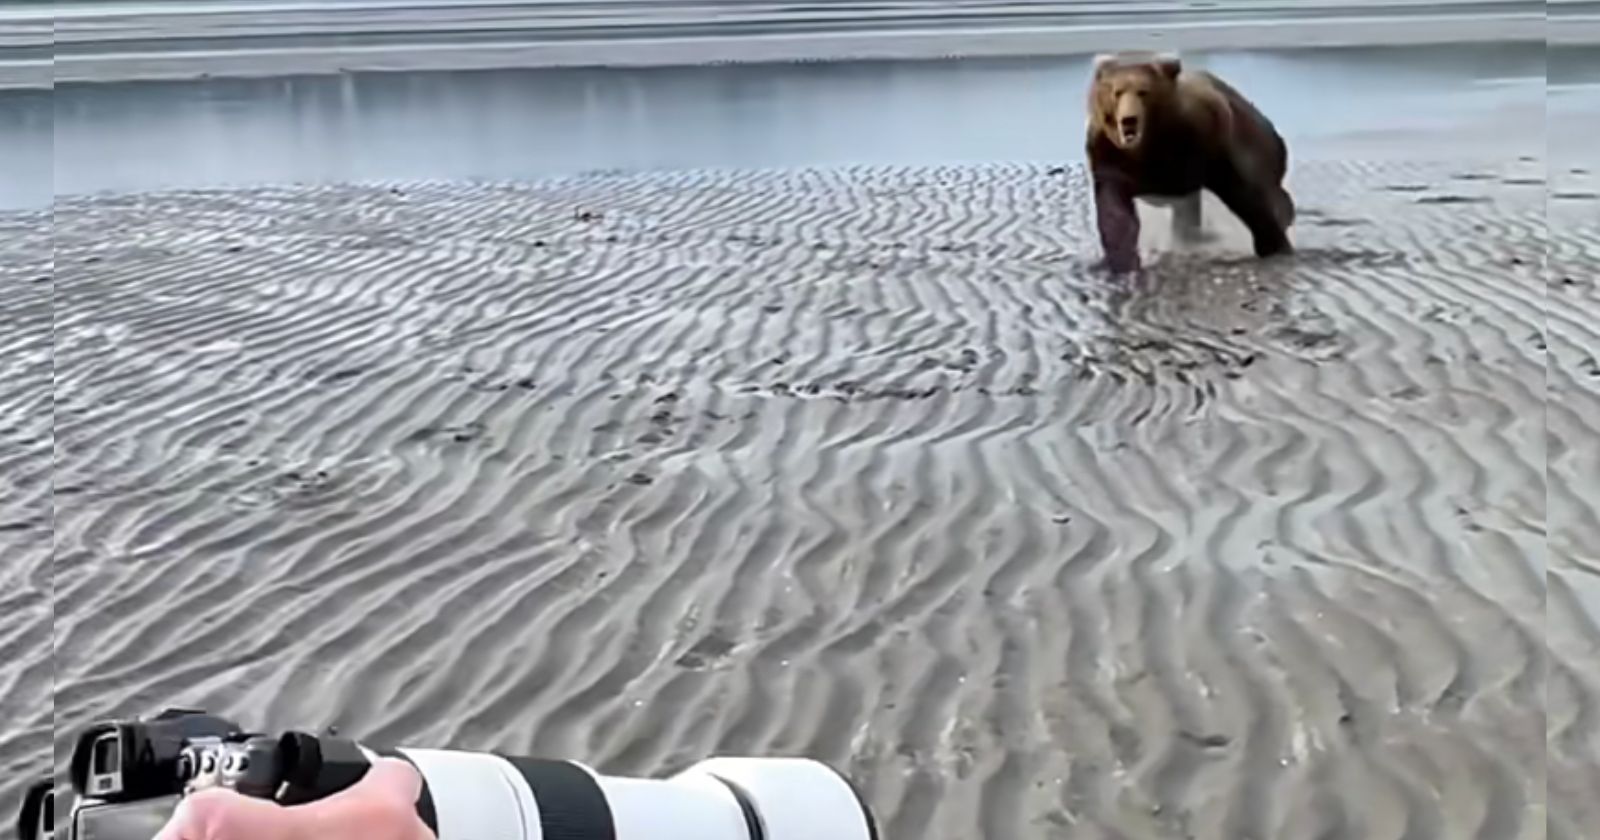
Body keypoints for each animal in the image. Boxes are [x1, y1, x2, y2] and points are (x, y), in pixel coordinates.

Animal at [1088, 51, 1299, 272]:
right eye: (1117, 92)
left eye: (1143, 92)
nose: (1129, 120)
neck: (1150, 147)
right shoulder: (1111, 160)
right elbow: (1115, 215)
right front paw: (1122, 262)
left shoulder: (1206, 145)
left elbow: (1246, 196)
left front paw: (1276, 246)